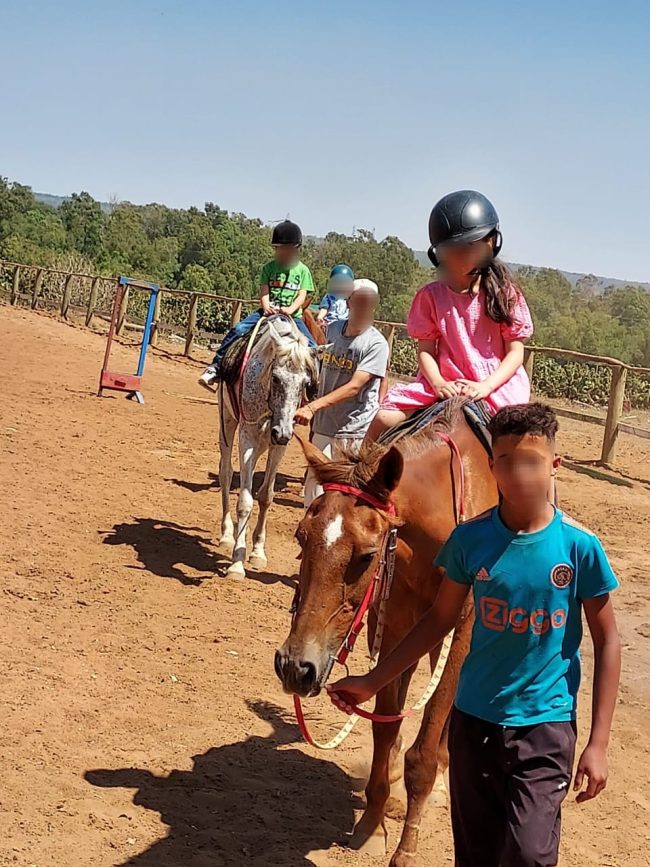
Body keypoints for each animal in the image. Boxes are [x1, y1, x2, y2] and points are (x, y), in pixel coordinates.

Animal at [218, 316, 321, 578]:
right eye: (276, 378)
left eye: (305, 382)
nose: (282, 432)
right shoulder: (248, 436)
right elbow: (245, 501)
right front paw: (237, 562)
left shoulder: (278, 445)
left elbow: (266, 496)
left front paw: (257, 552)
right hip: (227, 422)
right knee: (226, 473)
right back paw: (226, 535)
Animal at [275, 399, 497, 865]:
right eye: (301, 537)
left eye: (367, 555)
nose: (295, 667)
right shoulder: (397, 624)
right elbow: (384, 727)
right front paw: (372, 824)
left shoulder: (463, 631)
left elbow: (426, 749)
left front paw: (406, 850)